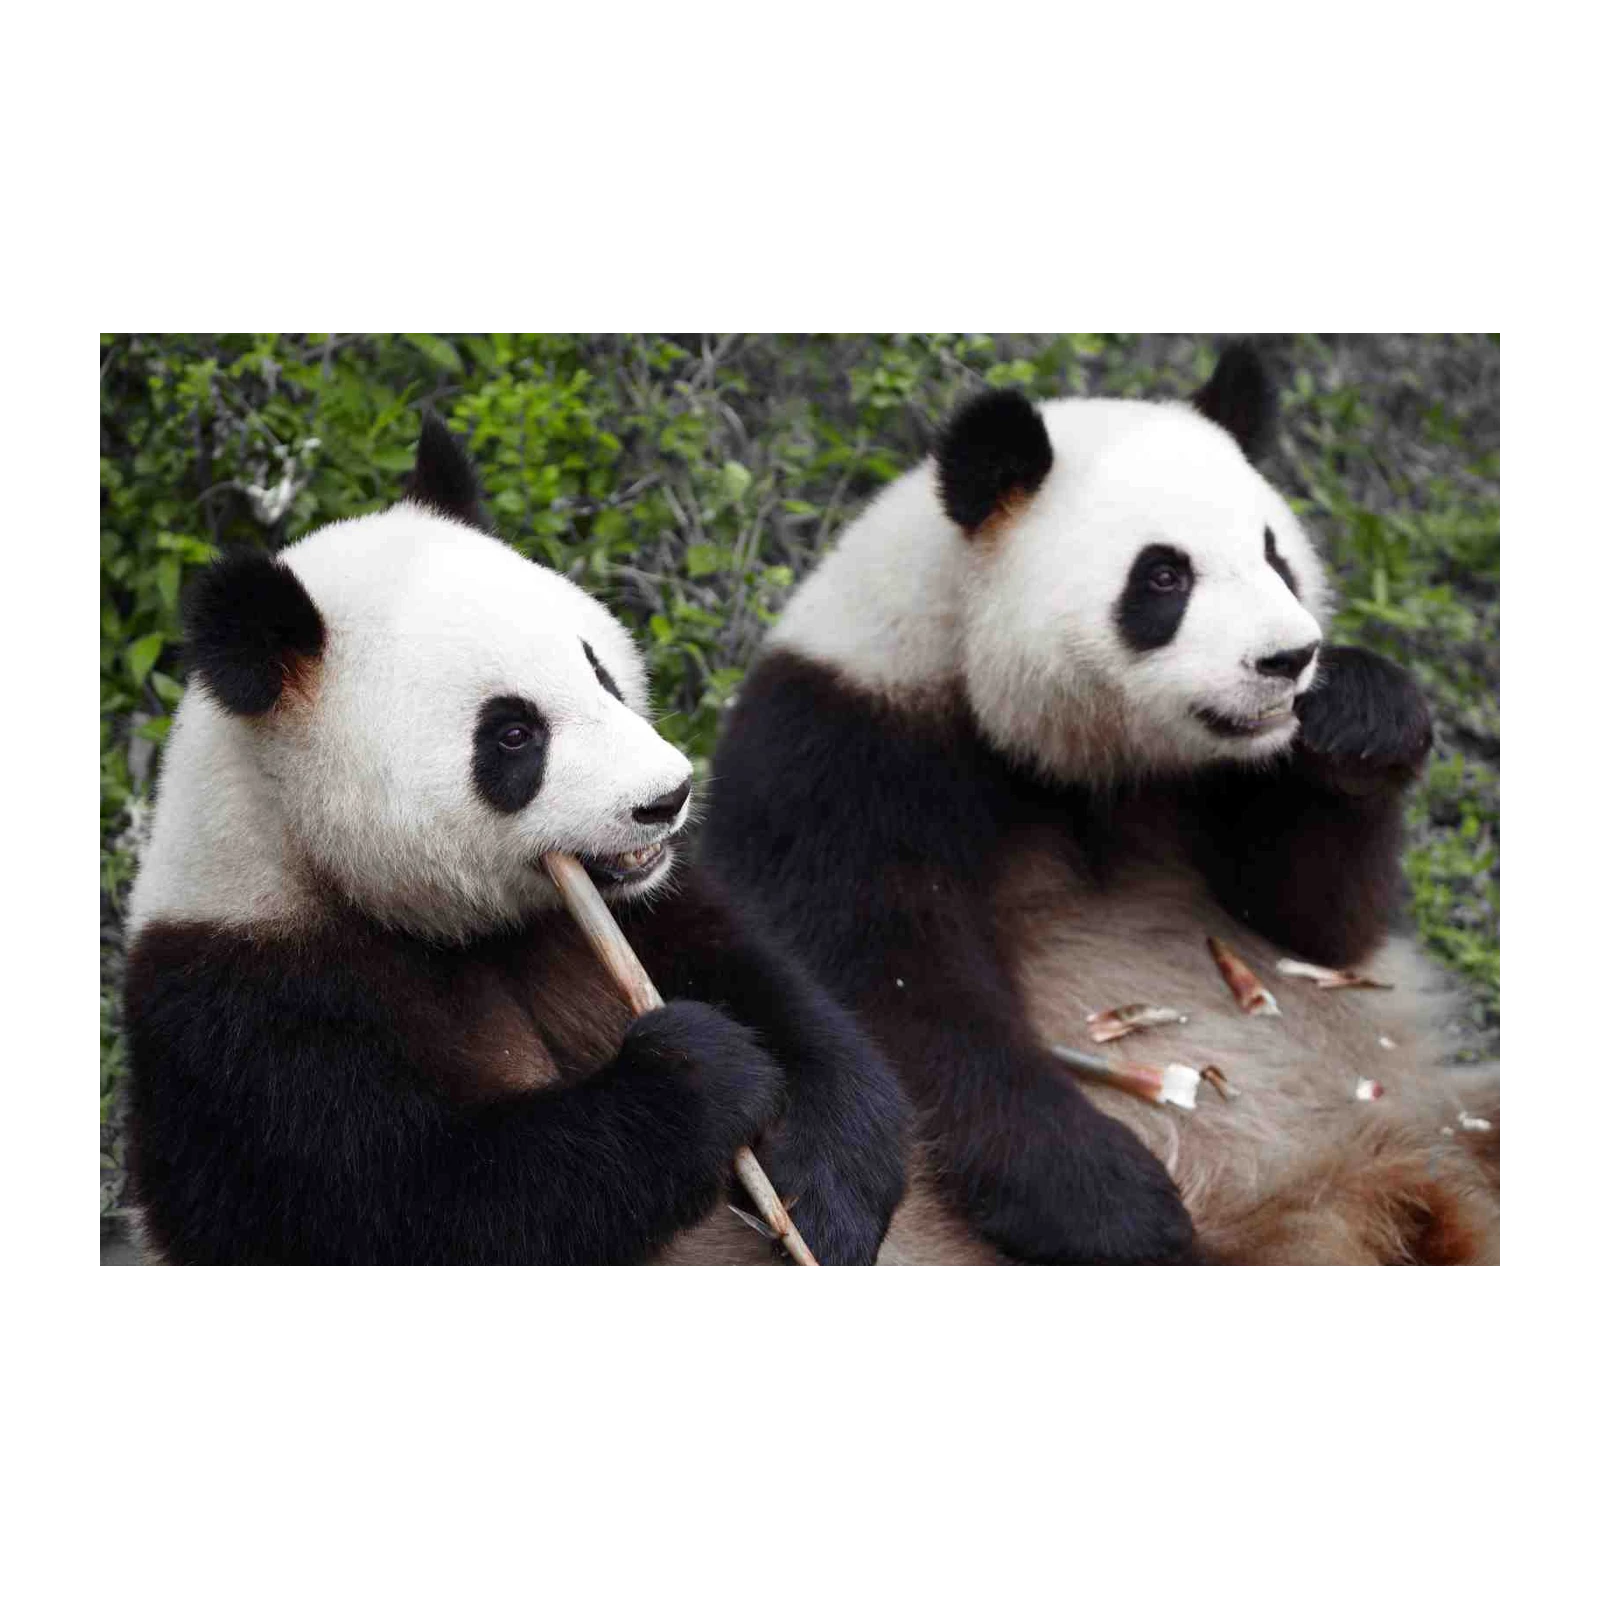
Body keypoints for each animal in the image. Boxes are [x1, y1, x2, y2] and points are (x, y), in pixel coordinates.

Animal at [122, 417, 910, 1270]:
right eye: (512, 734)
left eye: (598, 670)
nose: (666, 798)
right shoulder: (248, 1023)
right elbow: (425, 1210)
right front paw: (701, 1071)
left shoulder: (644, 913)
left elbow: (789, 1007)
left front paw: (821, 1199)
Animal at [703, 344, 1502, 1269]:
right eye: (1164, 575)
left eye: (1276, 557)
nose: (1287, 658)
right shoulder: (844, 754)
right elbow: (888, 991)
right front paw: (1115, 1207)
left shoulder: (1229, 780)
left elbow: (1317, 933)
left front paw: (1363, 714)